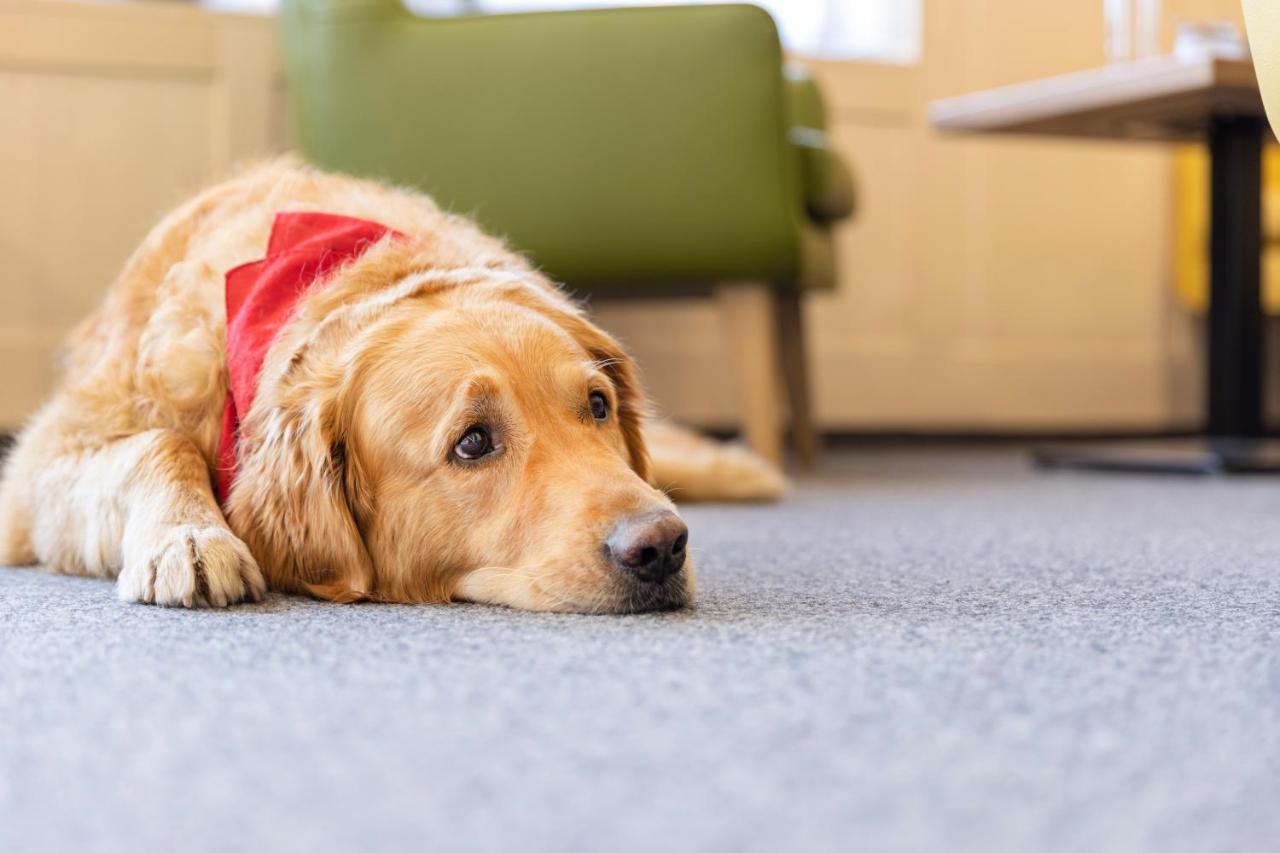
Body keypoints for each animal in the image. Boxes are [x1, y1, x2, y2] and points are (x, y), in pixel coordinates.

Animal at [0, 159, 778, 612]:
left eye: (598, 406)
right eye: (472, 443)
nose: (662, 545)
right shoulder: (34, 477)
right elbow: (156, 443)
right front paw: (187, 534)